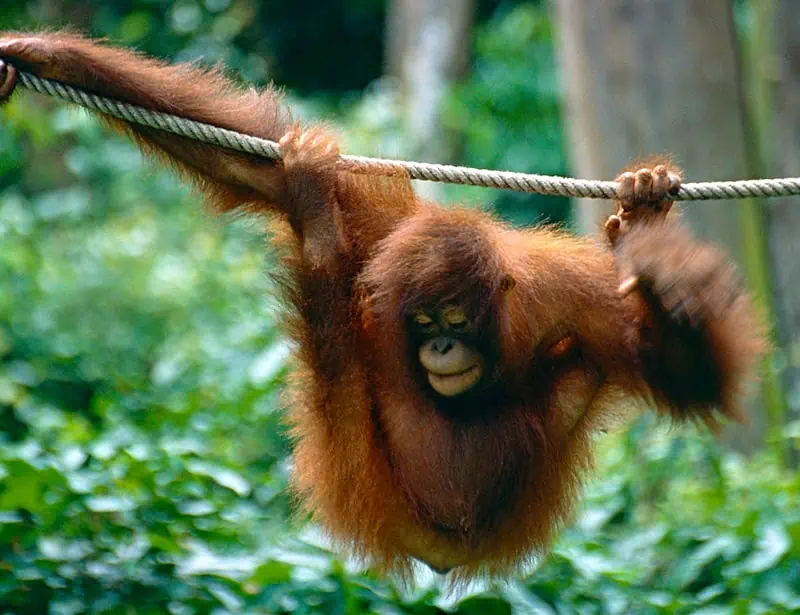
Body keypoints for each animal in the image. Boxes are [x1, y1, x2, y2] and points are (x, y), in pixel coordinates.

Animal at [0, 32, 765, 583]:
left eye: (455, 321)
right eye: (422, 323)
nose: (439, 347)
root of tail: (440, 556)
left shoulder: (569, 294)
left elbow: (683, 377)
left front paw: (653, 247)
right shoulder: (383, 252)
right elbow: (252, 170)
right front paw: (35, 51)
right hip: (363, 483)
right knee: (331, 328)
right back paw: (315, 221)